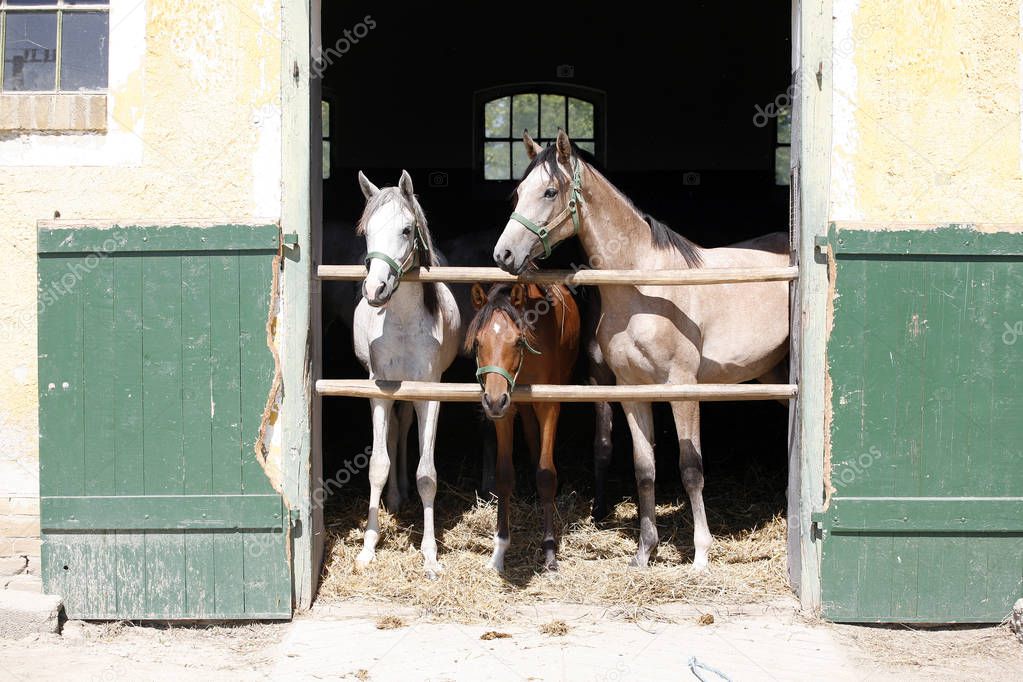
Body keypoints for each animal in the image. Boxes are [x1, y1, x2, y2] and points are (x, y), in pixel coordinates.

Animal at [353, 171, 462, 580]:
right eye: (367, 231)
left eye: (405, 229)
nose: (375, 289)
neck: (399, 323)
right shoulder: (379, 393)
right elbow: (377, 465)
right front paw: (368, 548)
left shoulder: (428, 395)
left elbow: (426, 474)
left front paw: (430, 555)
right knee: (395, 433)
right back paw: (396, 498)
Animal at [468, 282, 581, 572]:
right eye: (478, 342)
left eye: (518, 341)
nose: (493, 400)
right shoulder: (506, 411)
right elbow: (504, 475)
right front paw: (499, 551)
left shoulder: (548, 405)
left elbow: (546, 474)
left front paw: (550, 553)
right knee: (531, 435)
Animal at [495, 130, 789, 568]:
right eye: (517, 192)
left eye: (549, 191)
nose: (504, 254)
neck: (644, 288)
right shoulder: (632, 392)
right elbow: (644, 468)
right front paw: (644, 551)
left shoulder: (683, 389)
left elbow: (690, 469)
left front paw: (701, 555)